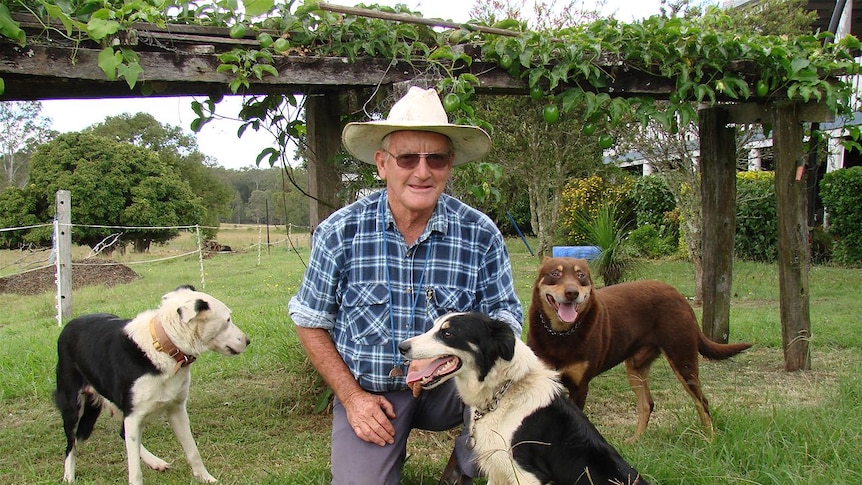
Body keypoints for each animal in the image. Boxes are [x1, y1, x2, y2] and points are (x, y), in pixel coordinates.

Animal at [54, 286, 250, 484]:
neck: (163, 346)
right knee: (71, 445)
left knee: (123, 434)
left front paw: (205, 477)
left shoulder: (176, 410)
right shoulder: (133, 415)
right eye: (228, 319)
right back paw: (68, 476)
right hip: (73, 405)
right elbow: (135, 470)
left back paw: (155, 462)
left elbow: (193, 451)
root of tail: (69, 325)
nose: (248, 340)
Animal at [398, 312, 648, 482]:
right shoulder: (498, 469)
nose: (401, 347)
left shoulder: (527, 475)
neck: (504, 393)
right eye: (434, 327)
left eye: (447, 333)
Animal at [524, 260, 752, 440]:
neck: (560, 335)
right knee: (647, 404)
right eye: (555, 274)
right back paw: (636, 441)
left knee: (701, 401)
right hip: (636, 366)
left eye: (581, 276)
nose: (572, 293)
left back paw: (710, 440)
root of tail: (678, 295)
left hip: (683, 358)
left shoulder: (580, 387)